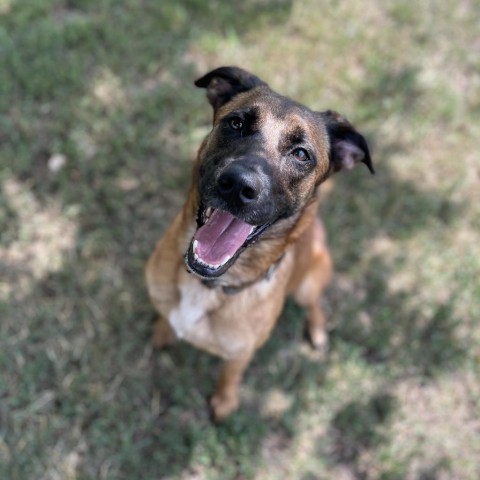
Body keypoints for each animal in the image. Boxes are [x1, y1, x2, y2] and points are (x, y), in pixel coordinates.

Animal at [144, 66, 374, 420]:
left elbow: (230, 374)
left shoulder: (241, 353)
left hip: (309, 282)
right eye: (236, 123)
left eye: (301, 154)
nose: (238, 186)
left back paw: (318, 331)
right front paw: (161, 332)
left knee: (315, 303)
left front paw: (224, 402)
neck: (210, 286)